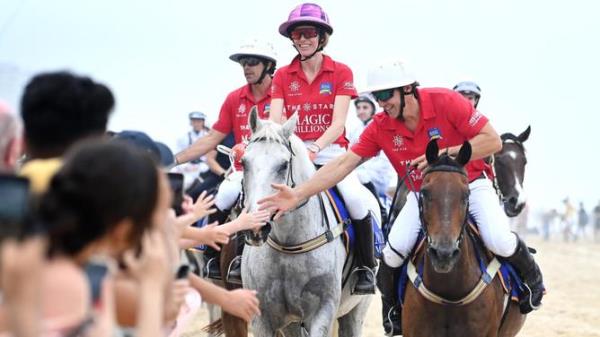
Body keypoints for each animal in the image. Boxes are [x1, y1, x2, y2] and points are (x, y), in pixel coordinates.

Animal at [240, 109, 376, 334]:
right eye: (243, 162)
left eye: (283, 165)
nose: (256, 228)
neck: (288, 244)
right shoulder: (262, 318)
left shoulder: (322, 312)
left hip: (355, 311)